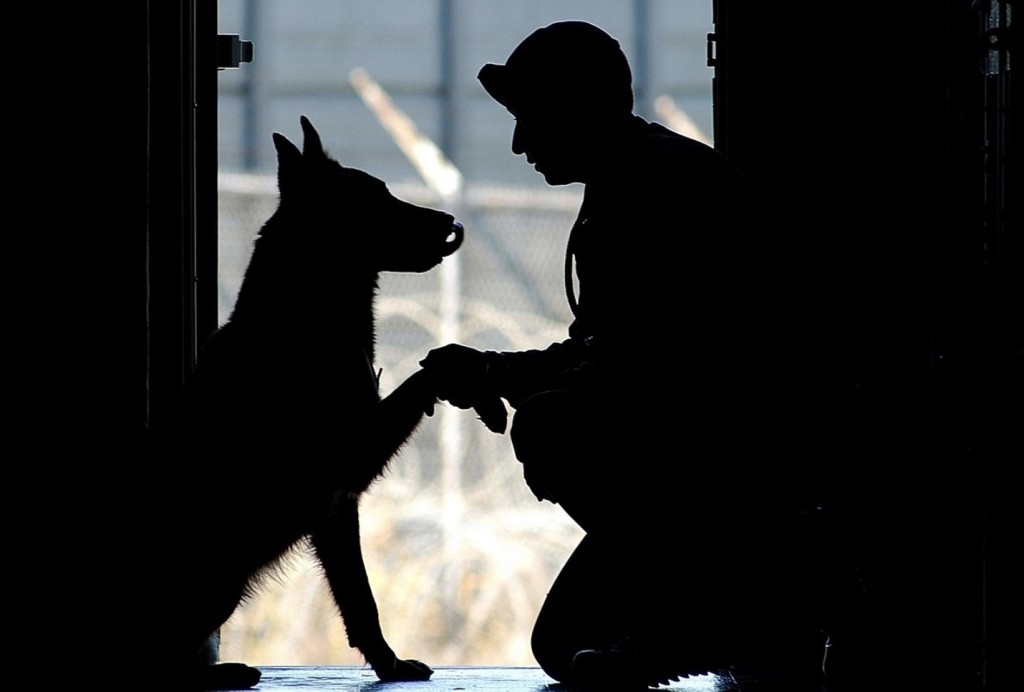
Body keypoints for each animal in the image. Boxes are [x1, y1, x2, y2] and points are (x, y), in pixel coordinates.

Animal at [164, 116, 464, 687]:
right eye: (374, 199)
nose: (449, 221)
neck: (301, 317)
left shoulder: (337, 507)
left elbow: (360, 599)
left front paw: (387, 663)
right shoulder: (350, 463)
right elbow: (420, 380)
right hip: (222, 582)